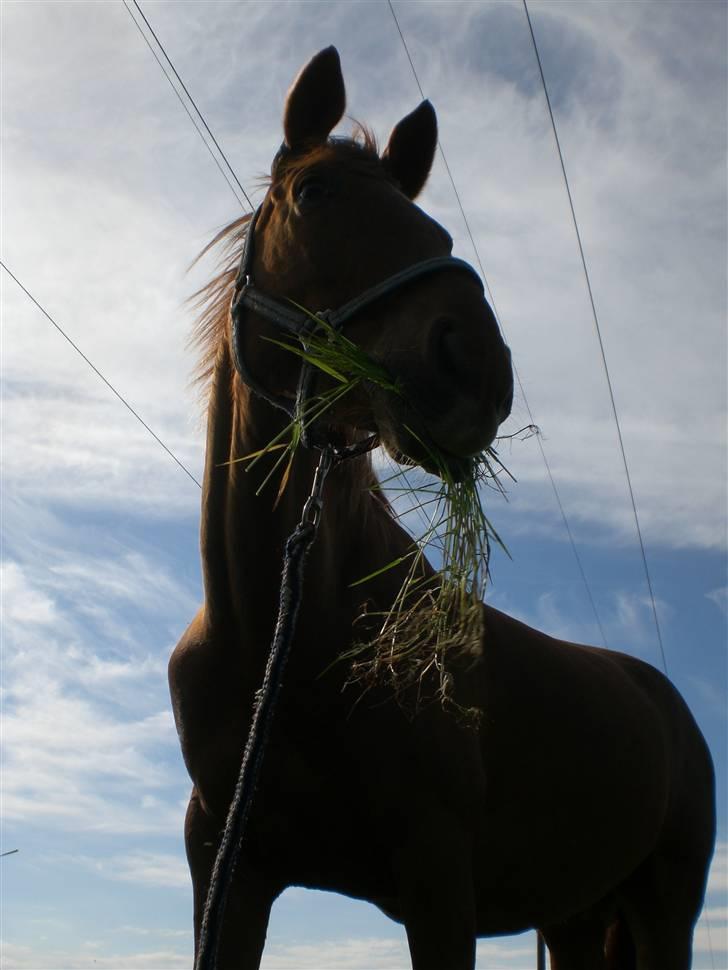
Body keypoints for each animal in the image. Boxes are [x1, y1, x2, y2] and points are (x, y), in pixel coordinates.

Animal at [169, 47, 712, 968]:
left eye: (440, 235)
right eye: (315, 193)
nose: (476, 365)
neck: (275, 631)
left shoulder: (438, 874)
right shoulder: (227, 865)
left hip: (662, 909)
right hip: (573, 916)